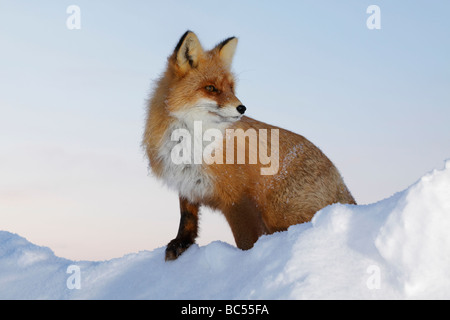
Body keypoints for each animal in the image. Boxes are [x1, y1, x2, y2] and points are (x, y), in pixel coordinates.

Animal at [143, 30, 356, 260]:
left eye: (231, 88)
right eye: (211, 88)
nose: (242, 108)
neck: (189, 142)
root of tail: (342, 184)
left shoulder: (238, 200)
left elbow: (246, 241)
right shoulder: (187, 184)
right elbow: (187, 219)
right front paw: (181, 244)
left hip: (276, 211)